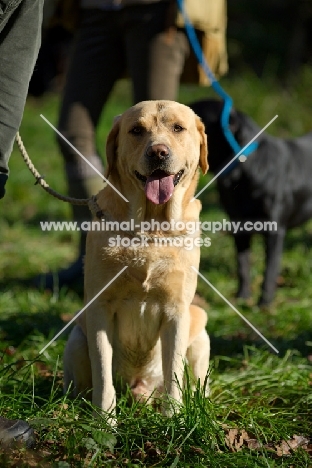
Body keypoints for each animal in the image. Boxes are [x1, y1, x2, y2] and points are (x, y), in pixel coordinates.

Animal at [189, 97, 312, 306]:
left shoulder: (275, 231)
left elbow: (270, 270)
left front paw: (265, 304)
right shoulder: (239, 227)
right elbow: (243, 265)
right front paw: (242, 298)